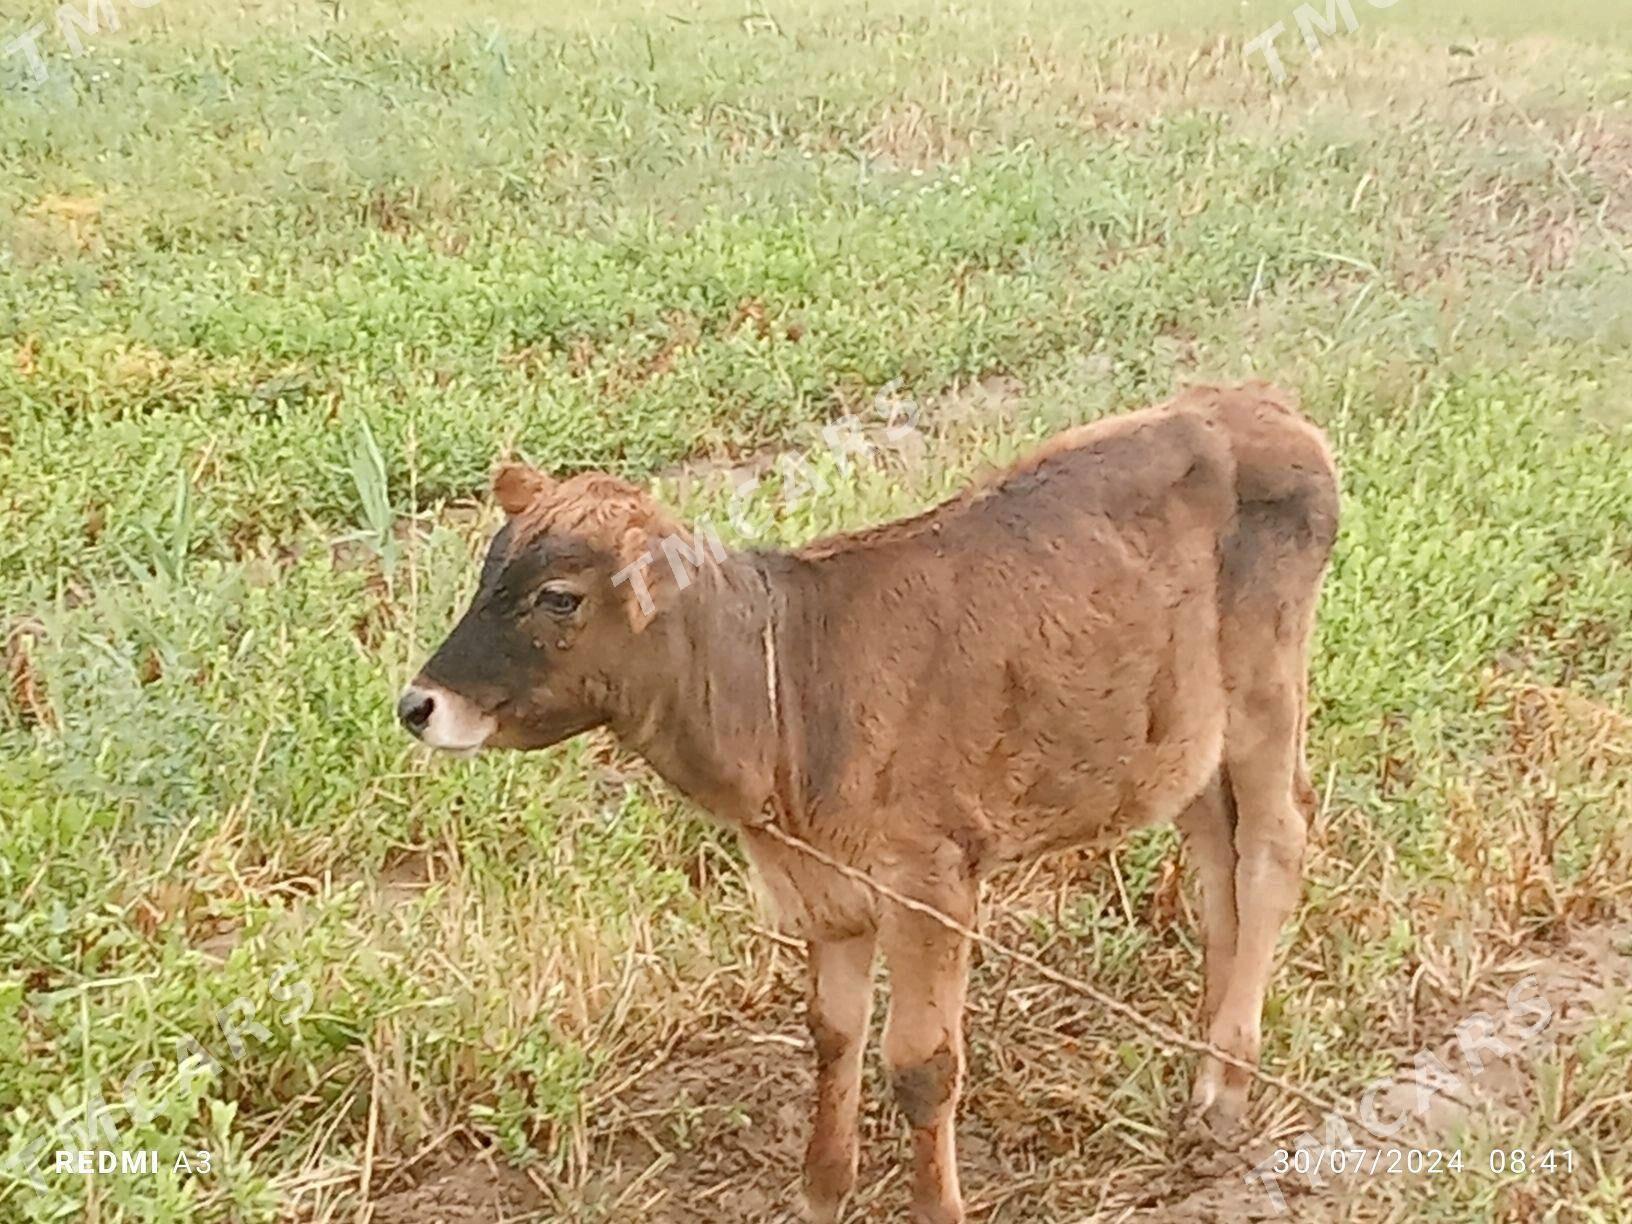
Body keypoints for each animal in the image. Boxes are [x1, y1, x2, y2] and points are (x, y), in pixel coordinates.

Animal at [398, 383, 1338, 1224]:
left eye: (558, 596)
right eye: (486, 574)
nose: (418, 704)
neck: (782, 689)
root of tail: (1260, 407)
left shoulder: (932, 880)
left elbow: (922, 1065)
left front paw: (936, 1206)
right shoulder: (827, 894)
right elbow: (832, 1034)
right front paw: (822, 1192)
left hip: (1267, 694)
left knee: (1274, 847)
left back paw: (1224, 1093)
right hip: (1185, 743)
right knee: (1219, 863)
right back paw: (1207, 1073)